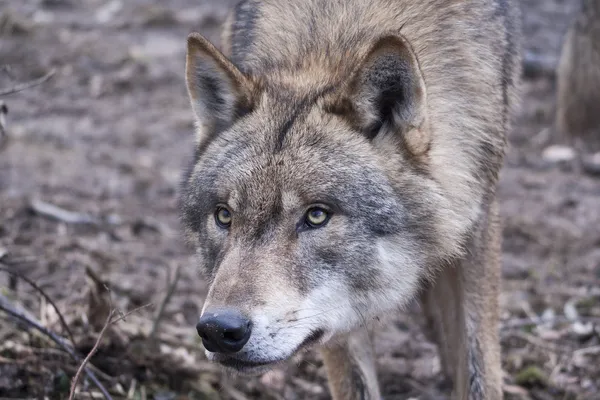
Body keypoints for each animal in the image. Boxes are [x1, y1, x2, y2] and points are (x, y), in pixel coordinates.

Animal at [178, 1, 520, 398]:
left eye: (316, 216)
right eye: (224, 215)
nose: (218, 329)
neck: (334, 43)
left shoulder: (479, 218)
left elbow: (479, 363)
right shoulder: (337, 316)